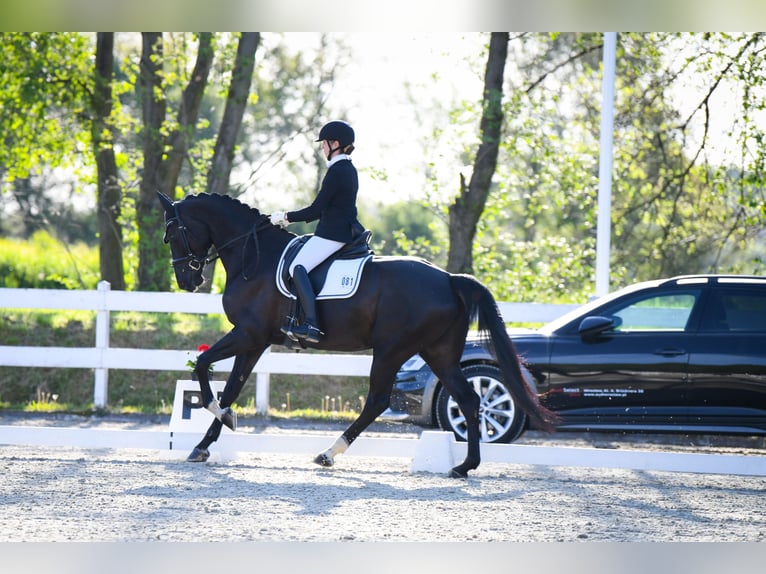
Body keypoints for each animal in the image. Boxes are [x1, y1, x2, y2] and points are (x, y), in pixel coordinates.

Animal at [158, 191, 560, 480]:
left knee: (378, 401)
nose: (188, 280)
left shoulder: (248, 334)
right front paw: (206, 441)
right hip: (440, 353)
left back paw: (328, 453)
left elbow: (203, 366)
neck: (254, 257)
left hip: (391, 350)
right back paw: (463, 467)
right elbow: (230, 387)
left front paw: (220, 420)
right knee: (469, 399)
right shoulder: (255, 341)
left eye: (172, 233)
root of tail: (449, 279)